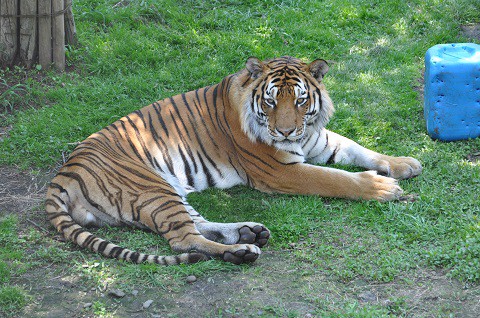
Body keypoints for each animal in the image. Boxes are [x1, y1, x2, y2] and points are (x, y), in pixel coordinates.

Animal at [44, 56, 420, 264]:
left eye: (300, 101)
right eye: (270, 101)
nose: (285, 132)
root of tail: (64, 174)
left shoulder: (318, 139)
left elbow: (358, 148)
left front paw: (405, 163)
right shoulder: (281, 171)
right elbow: (334, 178)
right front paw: (383, 188)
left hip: (165, 190)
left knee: (196, 224)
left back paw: (247, 233)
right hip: (151, 187)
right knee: (184, 239)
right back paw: (244, 251)